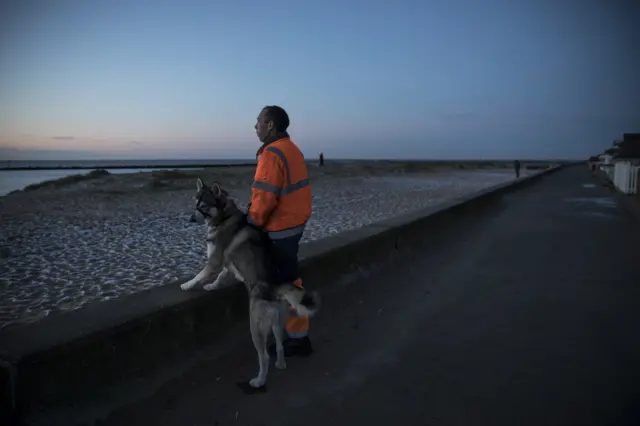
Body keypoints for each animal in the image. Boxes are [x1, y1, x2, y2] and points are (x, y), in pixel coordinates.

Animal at [180, 178, 320, 392]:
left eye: (203, 207)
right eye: (195, 202)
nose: (190, 219)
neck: (224, 215)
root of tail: (274, 290)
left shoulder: (215, 261)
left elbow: (200, 276)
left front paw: (188, 285)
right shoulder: (227, 264)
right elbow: (220, 277)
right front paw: (212, 286)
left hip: (256, 326)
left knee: (264, 356)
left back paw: (260, 380)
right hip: (277, 321)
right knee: (279, 345)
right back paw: (281, 363)